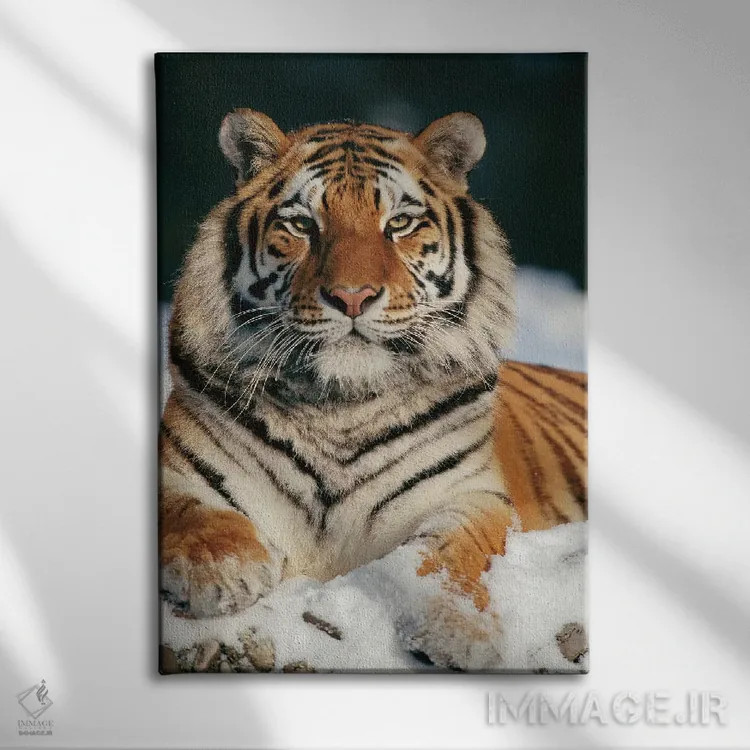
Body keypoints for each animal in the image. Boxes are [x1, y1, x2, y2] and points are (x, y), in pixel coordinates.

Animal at [160, 108, 587, 671]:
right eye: (302, 225)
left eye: (399, 224)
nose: (352, 296)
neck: (340, 404)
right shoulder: (176, 466)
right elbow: (187, 509)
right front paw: (221, 571)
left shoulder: (472, 495)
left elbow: (451, 555)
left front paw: (459, 630)